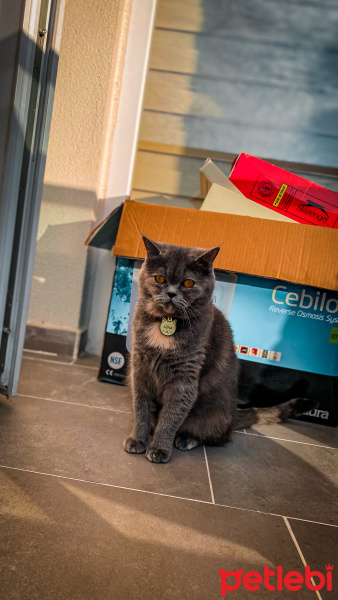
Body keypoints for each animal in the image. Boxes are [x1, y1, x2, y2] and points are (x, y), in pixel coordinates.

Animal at [124, 237, 314, 462]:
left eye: (188, 283)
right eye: (160, 278)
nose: (171, 293)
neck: (166, 322)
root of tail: (233, 414)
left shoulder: (184, 379)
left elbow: (170, 416)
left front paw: (160, 448)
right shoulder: (140, 369)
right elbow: (141, 409)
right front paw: (138, 440)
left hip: (213, 416)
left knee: (218, 436)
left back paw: (187, 439)